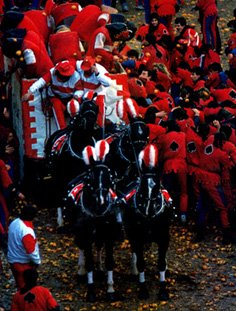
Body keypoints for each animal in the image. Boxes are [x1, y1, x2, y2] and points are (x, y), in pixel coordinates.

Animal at [65, 143, 123, 304]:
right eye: (91, 176)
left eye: (109, 176)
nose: (101, 199)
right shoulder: (86, 234)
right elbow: (89, 260)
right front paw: (91, 291)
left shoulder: (109, 235)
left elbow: (109, 261)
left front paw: (110, 289)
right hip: (79, 231)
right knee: (81, 247)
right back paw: (81, 271)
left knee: (98, 246)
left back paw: (100, 269)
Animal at [121, 144, 172, 302]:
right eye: (143, 186)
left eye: (157, 187)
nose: (149, 210)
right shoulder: (137, 238)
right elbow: (141, 263)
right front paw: (143, 289)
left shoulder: (164, 237)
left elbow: (161, 263)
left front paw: (163, 290)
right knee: (134, 252)